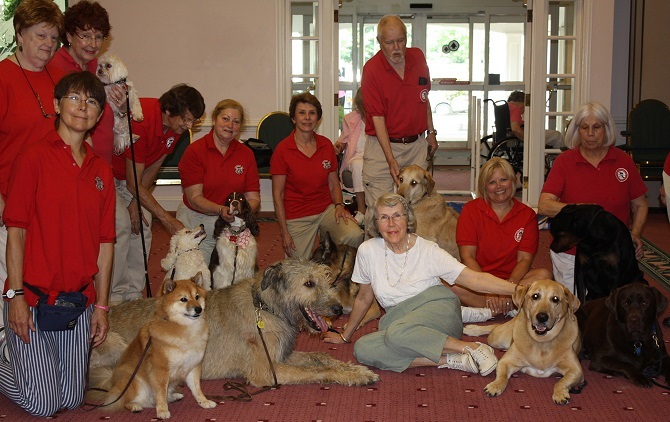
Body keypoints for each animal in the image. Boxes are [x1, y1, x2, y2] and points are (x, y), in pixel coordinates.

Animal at [85, 274, 214, 418]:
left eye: (197, 296)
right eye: (183, 299)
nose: (198, 309)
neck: (184, 328)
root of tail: (113, 385)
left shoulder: (193, 366)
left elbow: (196, 388)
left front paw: (204, 401)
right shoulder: (160, 370)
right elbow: (161, 393)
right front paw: (162, 411)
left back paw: (174, 396)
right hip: (136, 382)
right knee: (127, 401)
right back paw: (135, 406)